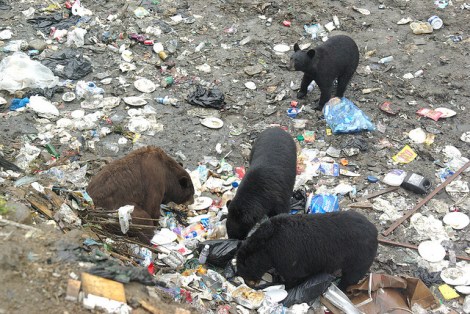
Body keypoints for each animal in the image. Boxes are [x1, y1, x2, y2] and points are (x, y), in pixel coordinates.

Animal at [235, 210, 378, 290]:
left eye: (244, 265)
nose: (240, 275)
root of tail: (374, 231)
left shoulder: (291, 268)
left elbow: (290, 282)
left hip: (358, 261)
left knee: (350, 278)